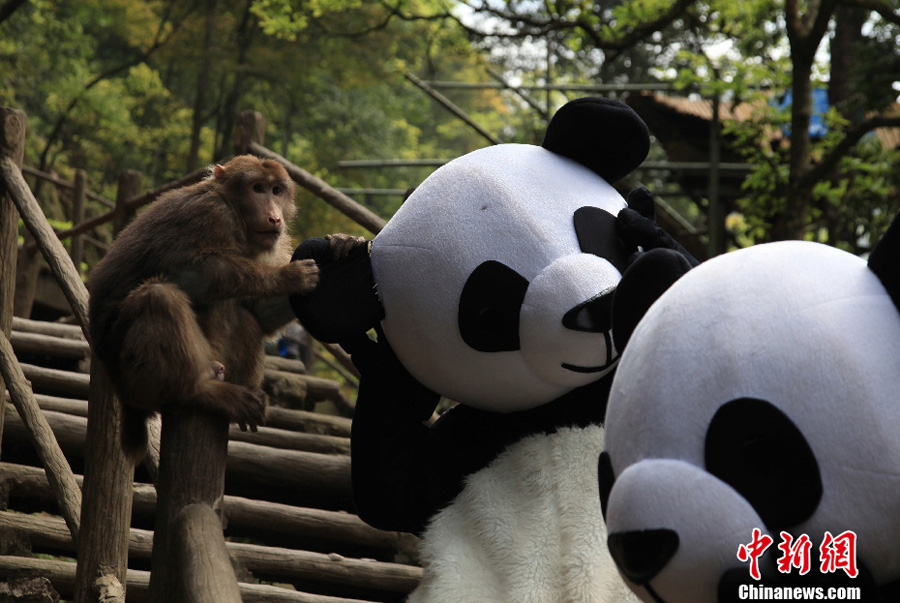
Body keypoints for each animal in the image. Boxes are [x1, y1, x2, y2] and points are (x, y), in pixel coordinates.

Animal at [88, 155, 360, 458]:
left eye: (277, 190)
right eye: (257, 188)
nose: (274, 216)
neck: (236, 213)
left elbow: (259, 313)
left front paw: (340, 243)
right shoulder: (209, 214)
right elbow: (191, 270)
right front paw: (287, 276)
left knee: (245, 318)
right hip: (128, 370)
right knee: (159, 297)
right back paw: (198, 392)